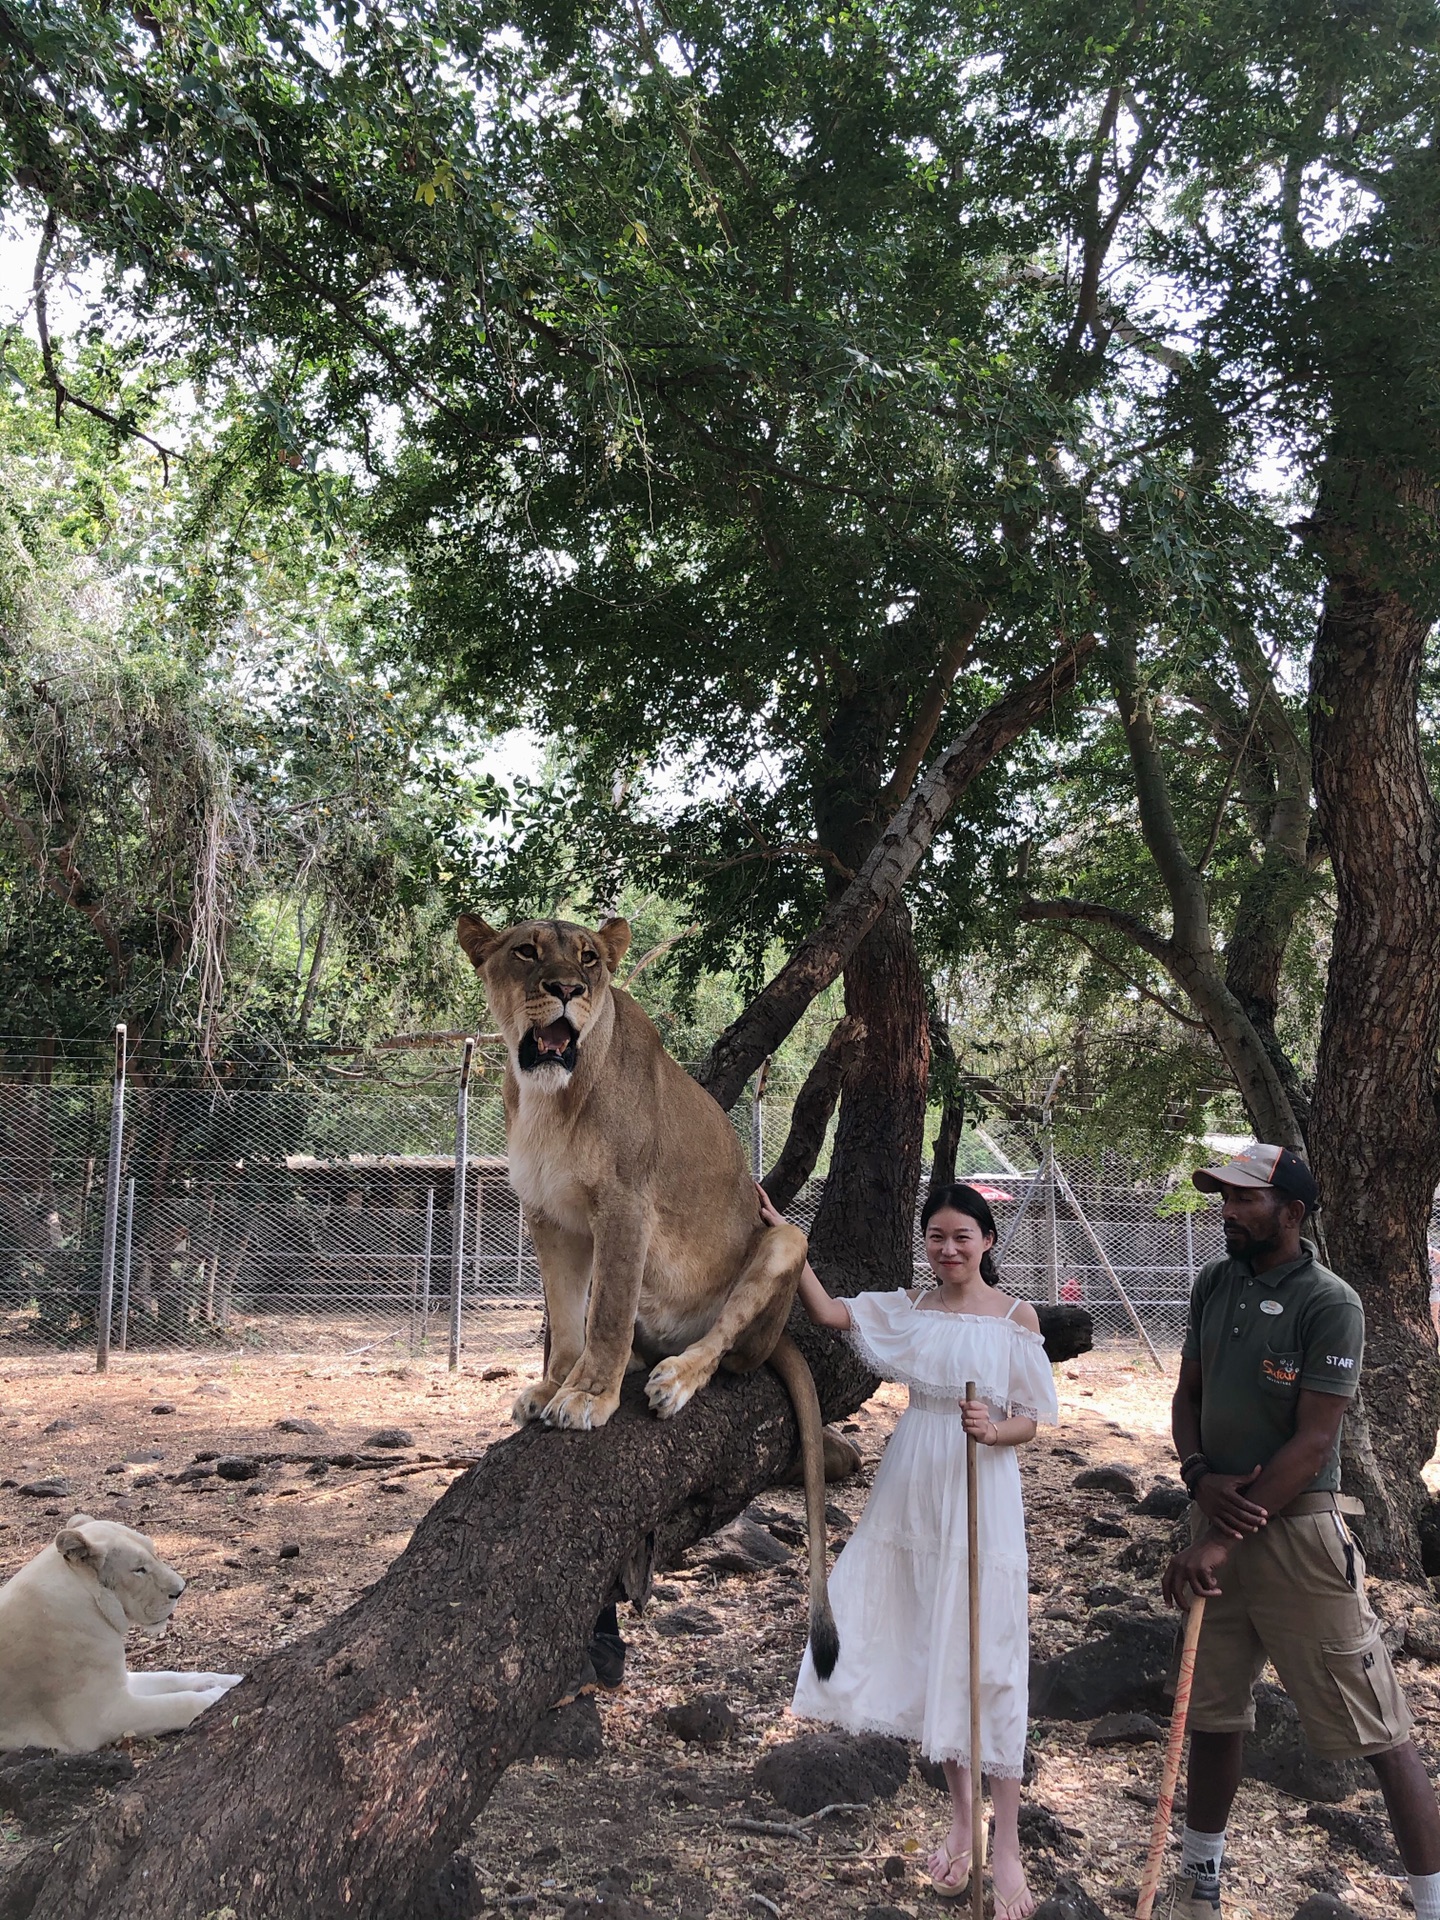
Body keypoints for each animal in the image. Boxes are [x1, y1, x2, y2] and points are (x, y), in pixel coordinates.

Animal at [0, 1512, 243, 1758]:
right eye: (139, 1569)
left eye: (154, 1553)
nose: (180, 1590)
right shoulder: (99, 1717)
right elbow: (179, 1703)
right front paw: (217, 1696)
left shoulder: (118, 1681)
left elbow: (170, 1677)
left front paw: (232, 1680)